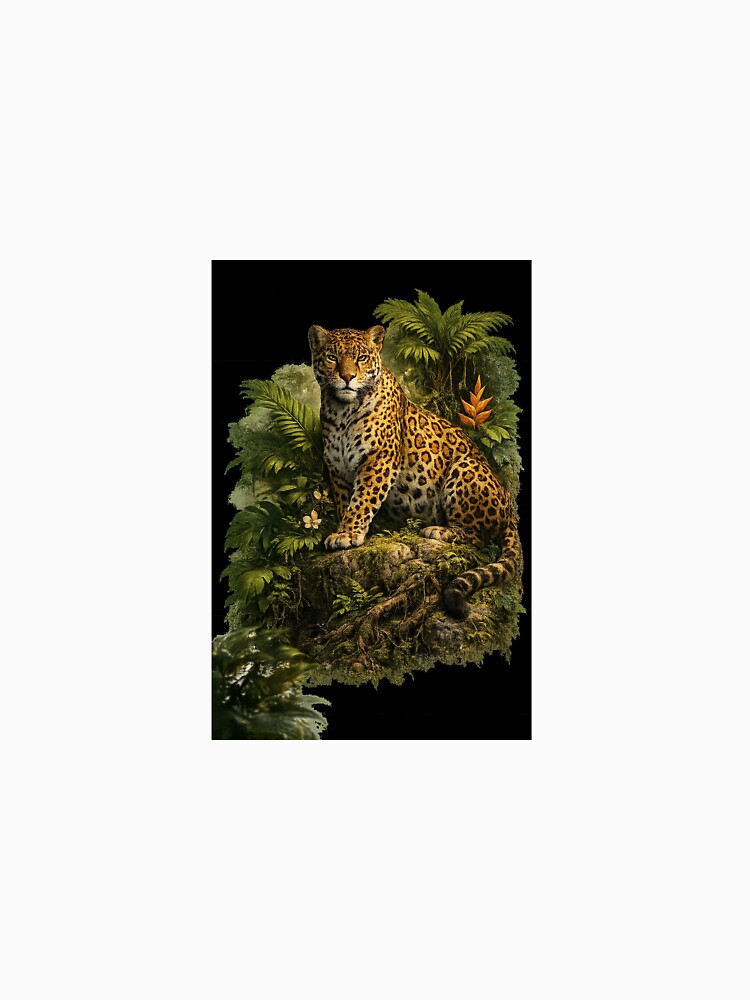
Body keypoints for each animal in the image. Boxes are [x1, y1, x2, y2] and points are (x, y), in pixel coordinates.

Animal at [308, 323, 523, 619]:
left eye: (361, 358)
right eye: (332, 357)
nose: (347, 377)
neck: (342, 410)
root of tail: (510, 508)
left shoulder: (379, 459)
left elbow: (362, 501)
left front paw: (347, 534)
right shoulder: (337, 468)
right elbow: (345, 503)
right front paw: (345, 531)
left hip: (465, 468)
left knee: (477, 537)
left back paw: (440, 531)